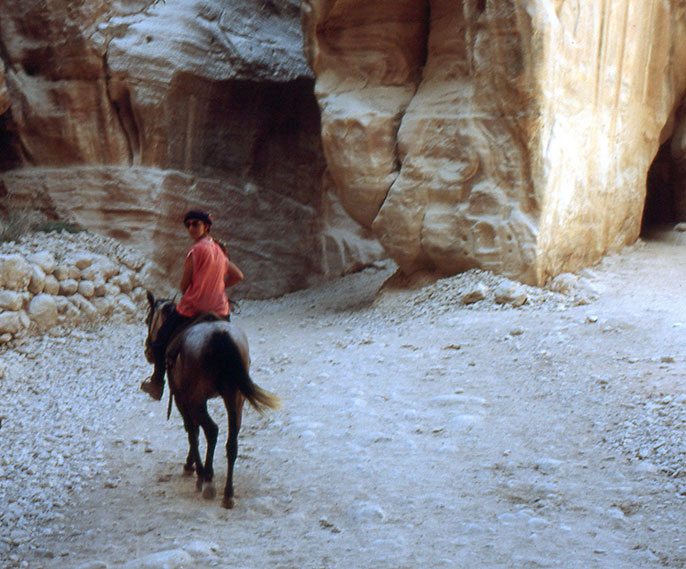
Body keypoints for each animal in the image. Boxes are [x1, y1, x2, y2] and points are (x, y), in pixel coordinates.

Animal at [145, 292, 282, 506]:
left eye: (147, 320)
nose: (148, 351)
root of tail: (220, 336)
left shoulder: (181, 398)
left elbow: (192, 431)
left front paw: (192, 467)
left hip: (197, 400)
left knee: (211, 430)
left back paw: (206, 478)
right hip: (234, 398)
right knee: (231, 440)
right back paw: (228, 492)